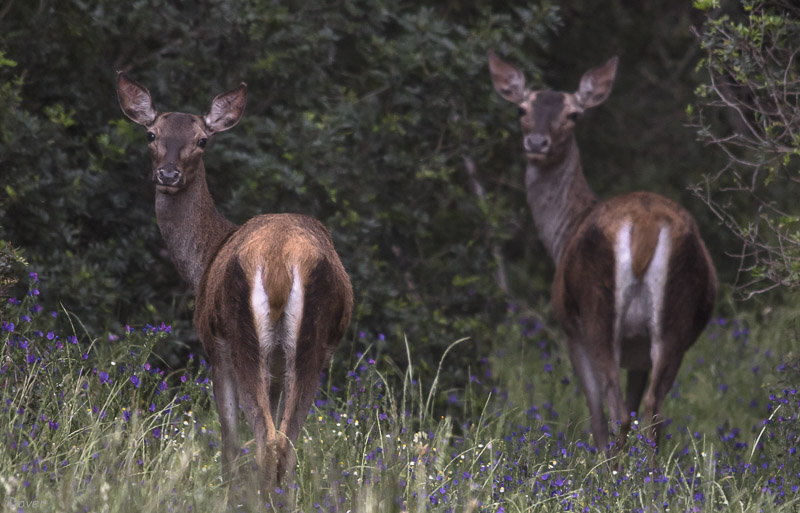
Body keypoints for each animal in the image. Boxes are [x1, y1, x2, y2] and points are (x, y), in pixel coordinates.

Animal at [116, 72, 354, 488]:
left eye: (202, 140)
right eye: (151, 134)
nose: (168, 175)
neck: (206, 257)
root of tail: (280, 262)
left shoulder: (214, 344)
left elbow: (228, 443)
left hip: (242, 332)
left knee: (265, 441)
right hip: (311, 344)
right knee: (286, 442)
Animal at [488, 52, 720, 450]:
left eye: (573, 114)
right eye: (522, 109)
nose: (537, 142)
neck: (565, 231)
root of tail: (645, 224)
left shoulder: (570, 327)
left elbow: (595, 414)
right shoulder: (639, 352)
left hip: (598, 308)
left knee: (616, 412)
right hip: (676, 321)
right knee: (653, 409)